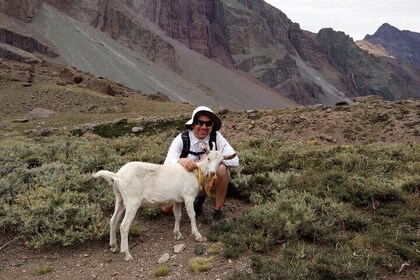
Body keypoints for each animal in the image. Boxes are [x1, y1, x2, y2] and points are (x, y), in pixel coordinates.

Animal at [91, 145, 233, 262]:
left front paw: (177, 234)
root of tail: (117, 176)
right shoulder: (188, 197)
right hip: (132, 201)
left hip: (120, 199)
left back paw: (113, 246)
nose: (213, 173)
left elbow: (178, 216)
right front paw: (197, 235)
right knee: (124, 226)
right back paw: (126, 254)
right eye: (208, 158)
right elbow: (192, 215)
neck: (196, 172)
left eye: (221, 162)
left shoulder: (177, 200)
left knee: (113, 220)